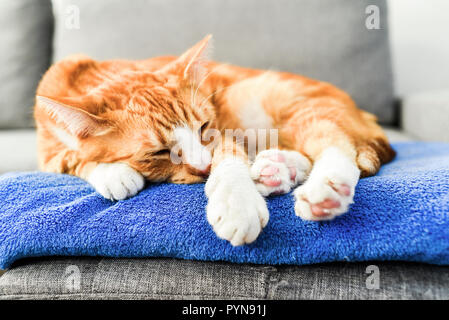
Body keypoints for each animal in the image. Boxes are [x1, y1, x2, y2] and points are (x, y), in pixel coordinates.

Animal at [34, 34, 392, 245]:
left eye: (204, 126)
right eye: (159, 152)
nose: (203, 168)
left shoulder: (224, 133)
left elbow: (230, 161)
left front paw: (236, 204)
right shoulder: (47, 149)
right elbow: (73, 158)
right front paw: (114, 174)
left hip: (274, 99)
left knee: (337, 146)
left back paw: (325, 191)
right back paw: (277, 170)